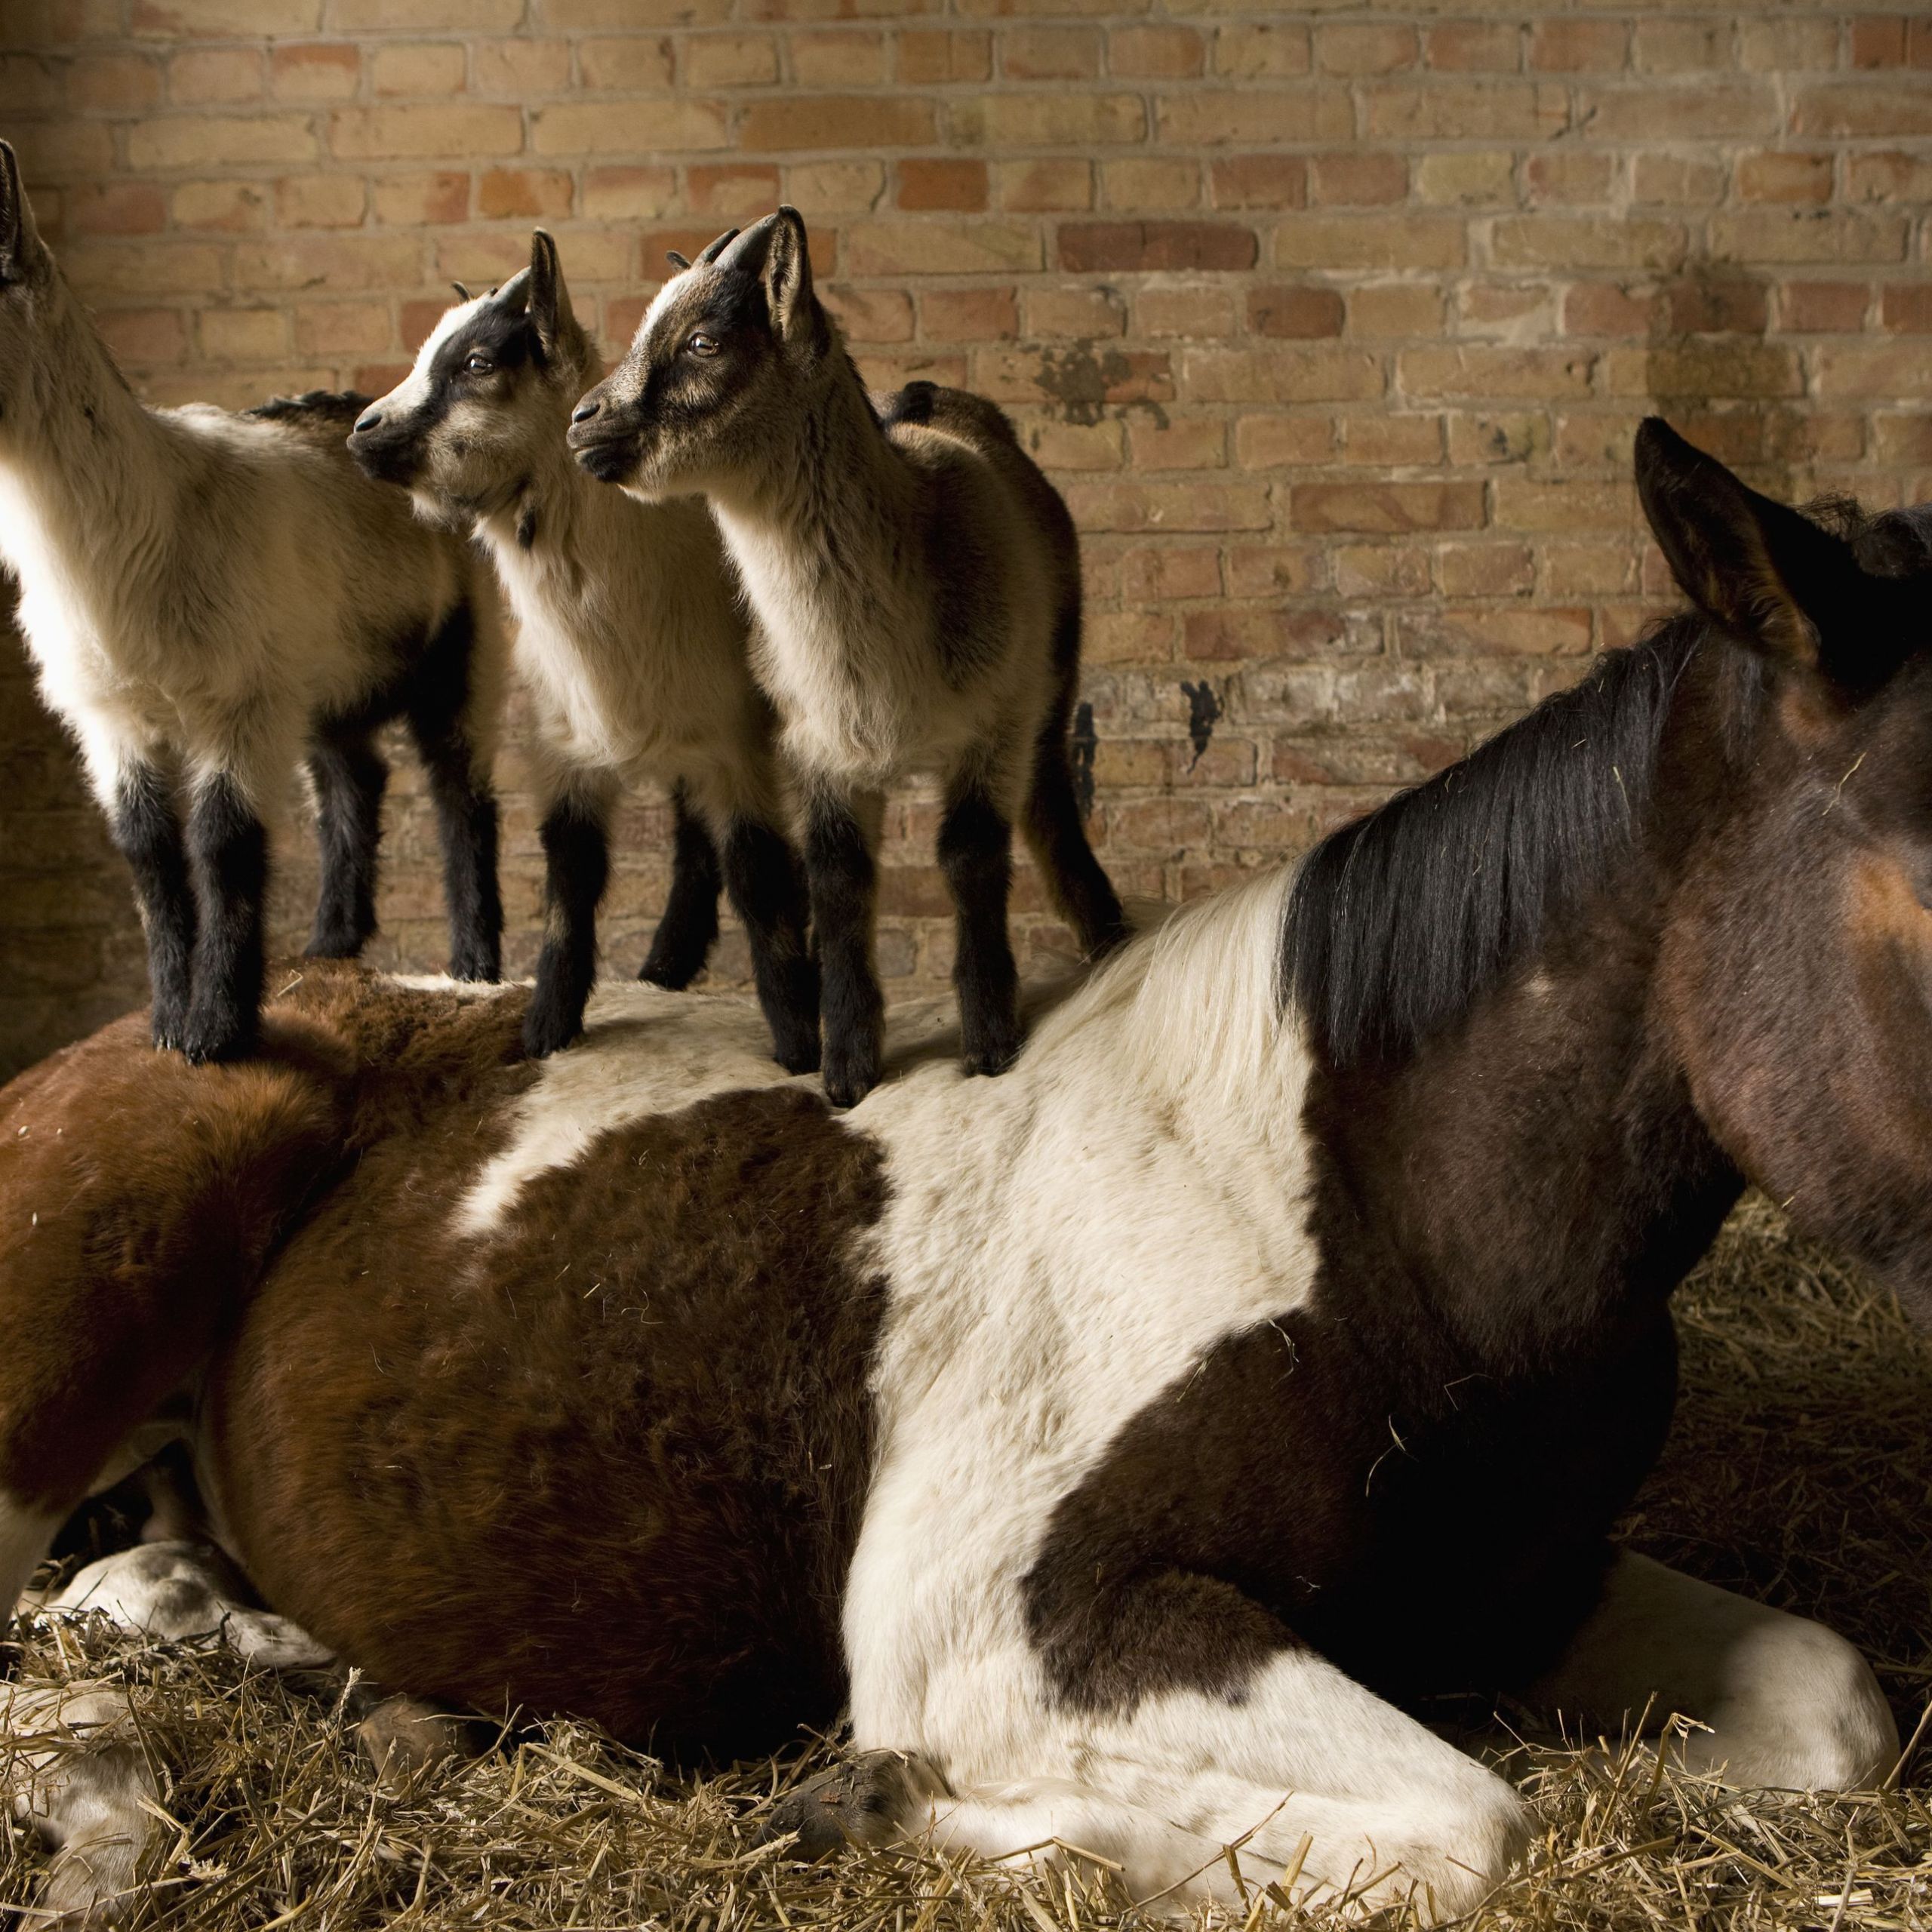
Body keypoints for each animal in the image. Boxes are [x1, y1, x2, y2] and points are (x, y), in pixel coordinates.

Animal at [0, 143, 506, 1066]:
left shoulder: (237, 703)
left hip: (463, 646)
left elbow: (224, 847)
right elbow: (150, 855)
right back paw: (331, 947)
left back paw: (473, 968)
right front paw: (167, 1026)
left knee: (462, 793)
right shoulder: (111, 719)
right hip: (323, 672)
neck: (141, 528)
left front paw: (217, 1033)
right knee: (353, 780)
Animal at [4, 423, 1932, 1916]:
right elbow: (1475, 1822)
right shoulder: (1001, 1626)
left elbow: (1832, 1709)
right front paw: (876, 1800)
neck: (1383, 1215)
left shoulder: (1522, 1584)